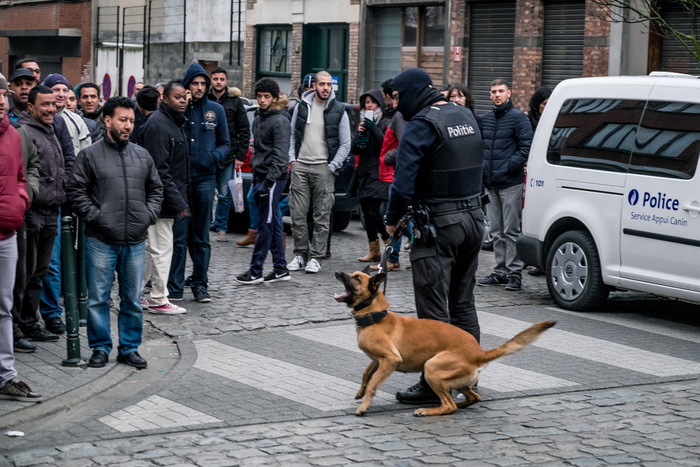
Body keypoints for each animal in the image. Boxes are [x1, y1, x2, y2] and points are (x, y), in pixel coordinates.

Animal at [336, 268, 556, 418]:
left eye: (356, 278)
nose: (338, 272)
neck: (375, 315)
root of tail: (479, 353)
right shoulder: (378, 360)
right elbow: (366, 374)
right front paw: (360, 392)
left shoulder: (390, 360)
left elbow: (373, 383)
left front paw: (364, 405)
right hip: (456, 380)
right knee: (472, 398)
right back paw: (457, 405)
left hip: (432, 368)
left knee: (449, 406)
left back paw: (428, 410)